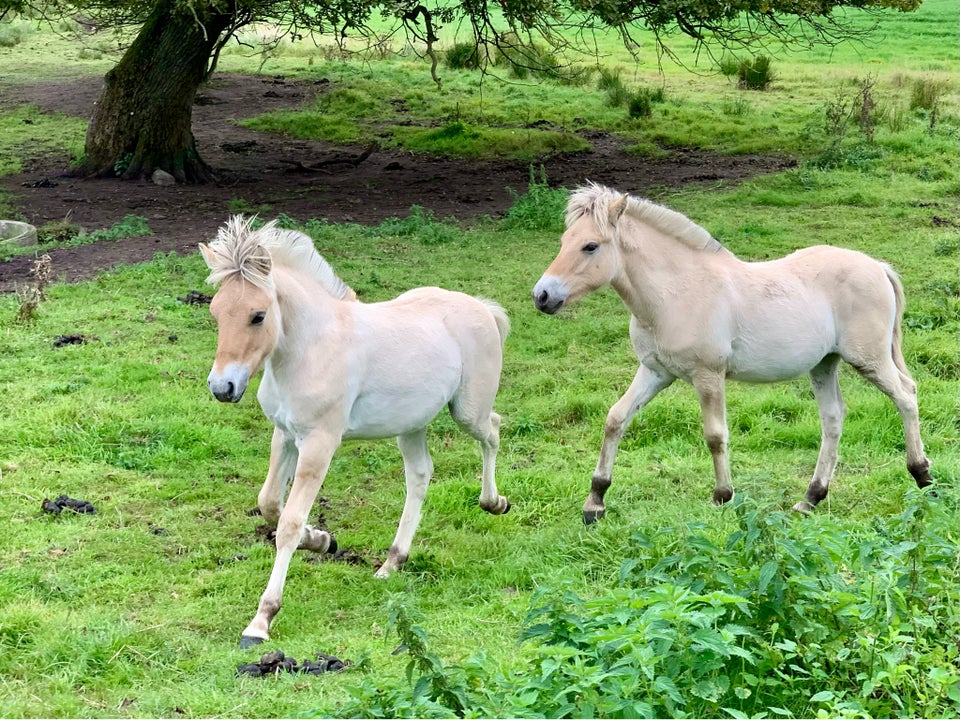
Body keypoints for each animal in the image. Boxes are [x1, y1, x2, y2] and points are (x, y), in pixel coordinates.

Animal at [197, 218, 510, 648]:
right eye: (215, 312)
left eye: (257, 316)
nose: (222, 388)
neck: (309, 349)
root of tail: (483, 307)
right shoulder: (285, 434)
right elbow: (270, 504)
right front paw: (323, 540)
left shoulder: (320, 442)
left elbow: (288, 523)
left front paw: (260, 622)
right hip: (410, 424)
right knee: (420, 475)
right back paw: (392, 562)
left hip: (468, 411)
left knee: (491, 430)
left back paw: (494, 503)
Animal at [528, 184, 932, 524]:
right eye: (564, 241)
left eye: (590, 246)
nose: (542, 295)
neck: (677, 292)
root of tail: (877, 266)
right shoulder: (655, 372)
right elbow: (616, 419)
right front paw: (595, 502)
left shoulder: (708, 375)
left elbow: (715, 435)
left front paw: (723, 496)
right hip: (823, 364)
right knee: (833, 418)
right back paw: (810, 498)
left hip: (869, 358)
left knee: (906, 395)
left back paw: (923, 476)